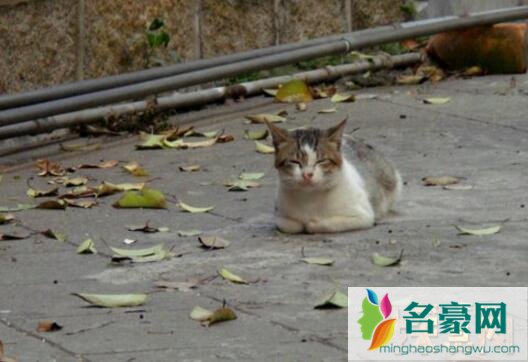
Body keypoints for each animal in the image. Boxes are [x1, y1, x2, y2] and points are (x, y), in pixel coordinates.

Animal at [266, 117, 402, 233]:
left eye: (321, 161)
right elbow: (291, 225)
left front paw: (312, 224)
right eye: (295, 161)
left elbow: (323, 224)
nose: (307, 174)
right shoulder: (280, 216)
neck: (310, 198)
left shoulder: (363, 216)